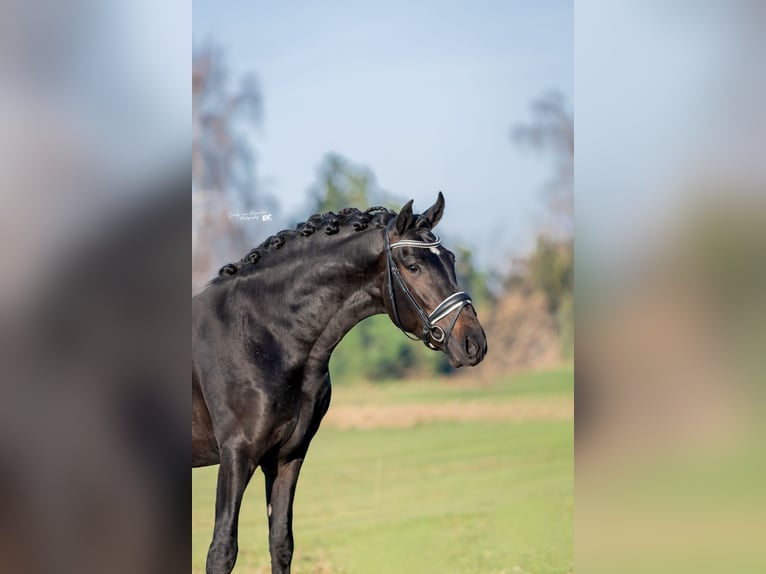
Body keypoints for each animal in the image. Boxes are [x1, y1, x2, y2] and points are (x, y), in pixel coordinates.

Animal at [192, 193, 488, 573]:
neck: (263, 333)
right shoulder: (236, 455)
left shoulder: (287, 456)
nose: (473, 343)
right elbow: (222, 552)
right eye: (412, 266)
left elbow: (281, 543)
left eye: (449, 258)